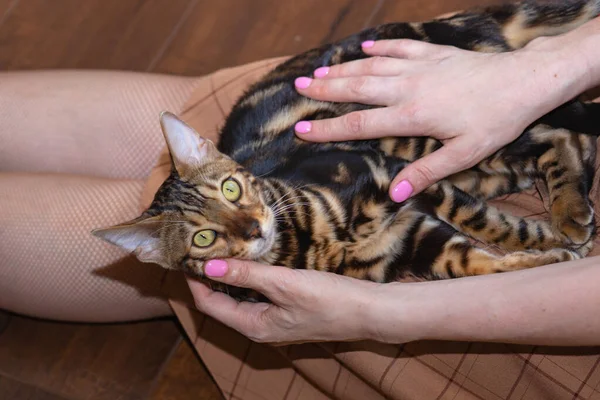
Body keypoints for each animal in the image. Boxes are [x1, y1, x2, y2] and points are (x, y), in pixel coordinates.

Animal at [91, 0, 600, 300]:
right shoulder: (416, 245)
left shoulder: (391, 171)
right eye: (202, 238)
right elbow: (480, 263)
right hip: (473, 161)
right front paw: (548, 257)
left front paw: (553, 243)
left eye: (231, 190)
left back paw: (569, 213)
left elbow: (485, 223)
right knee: (565, 139)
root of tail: (443, 21)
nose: (254, 228)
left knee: (560, 131)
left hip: (442, 130)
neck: (308, 242)